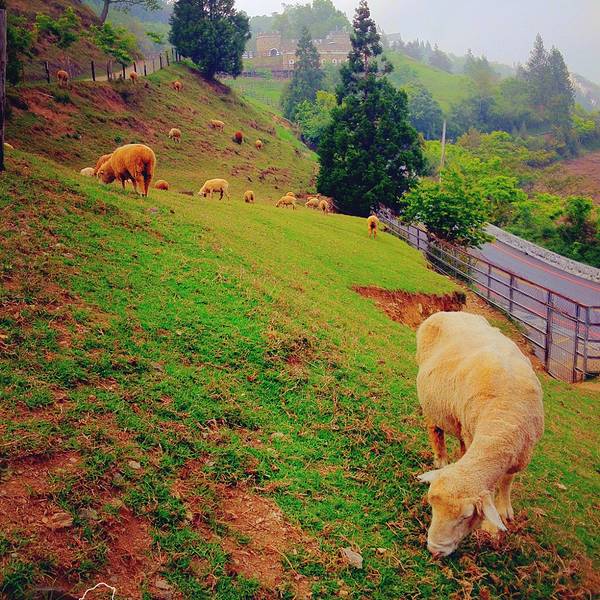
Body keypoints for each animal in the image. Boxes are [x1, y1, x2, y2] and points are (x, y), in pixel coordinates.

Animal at [414, 314, 548, 556]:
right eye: (432, 507)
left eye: (466, 516)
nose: (434, 550)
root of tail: (450, 312)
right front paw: (491, 526)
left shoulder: (520, 456)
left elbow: (506, 481)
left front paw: (504, 510)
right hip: (431, 402)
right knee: (435, 429)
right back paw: (441, 459)